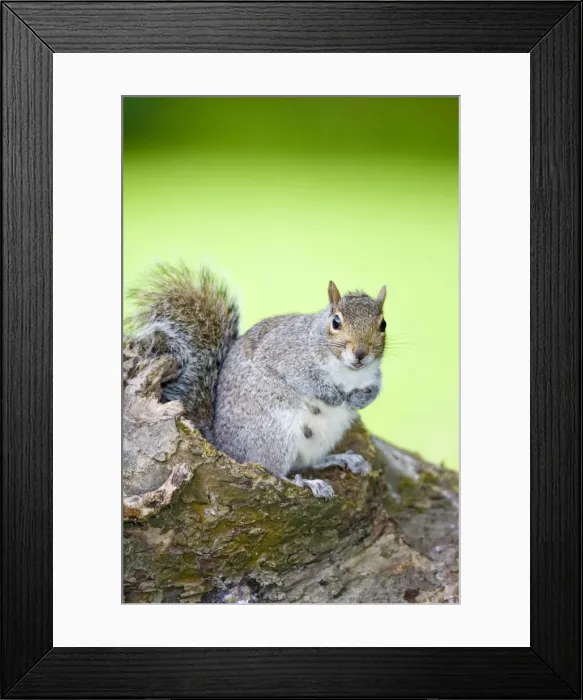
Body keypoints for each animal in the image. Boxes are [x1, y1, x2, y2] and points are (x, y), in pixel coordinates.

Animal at [126, 263, 387, 499]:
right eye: (336, 322)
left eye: (383, 324)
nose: (361, 353)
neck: (349, 371)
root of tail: (225, 446)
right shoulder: (286, 355)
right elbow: (305, 379)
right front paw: (334, 396)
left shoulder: (373, 374)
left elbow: (375, 388)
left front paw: (360, 399)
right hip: (274, 433)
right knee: (273, 472)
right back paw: (307, 483)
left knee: (307, 462)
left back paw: (342, 458)